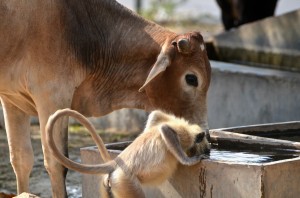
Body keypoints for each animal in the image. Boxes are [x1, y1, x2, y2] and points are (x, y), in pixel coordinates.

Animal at [46, 109, 211, 197]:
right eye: (206, 149)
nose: (208, 152)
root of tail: (116, 162)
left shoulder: (163, 119)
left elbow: (155, 115)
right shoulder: (184, 136)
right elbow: (165, 129)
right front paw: (189, 160)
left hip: (110, 184)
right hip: (125, 181)